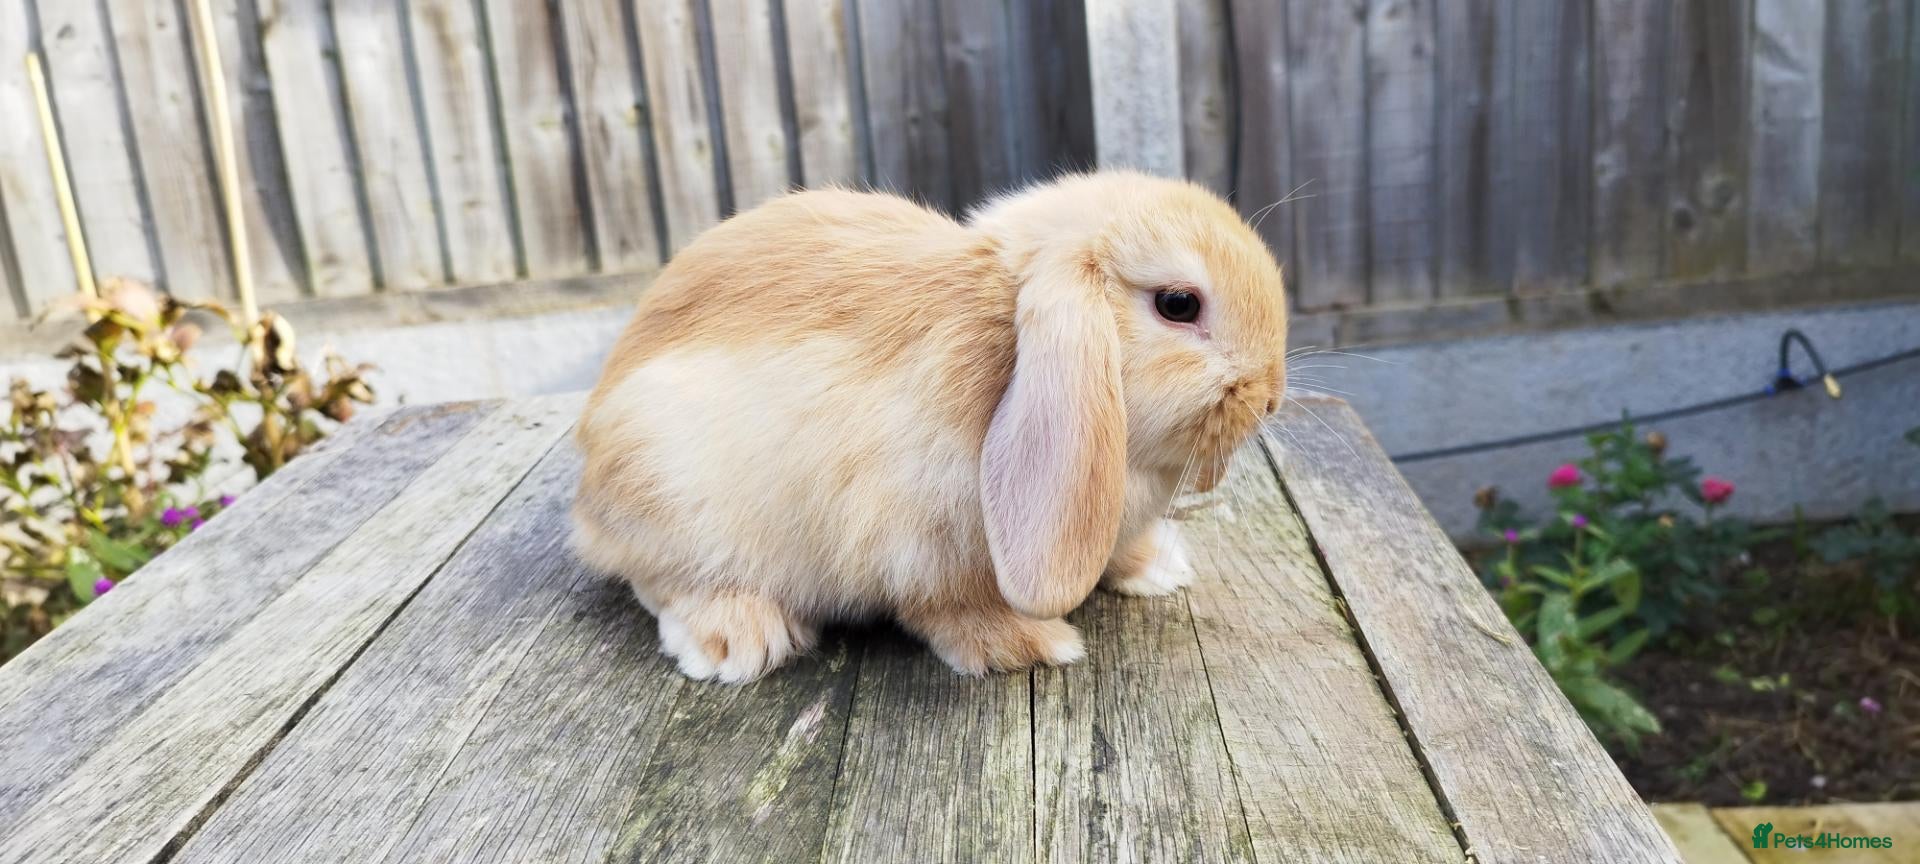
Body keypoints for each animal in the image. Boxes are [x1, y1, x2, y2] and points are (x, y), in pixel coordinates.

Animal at [572, 170, 1288, 683]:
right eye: (1178, 304)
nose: (1271, 397)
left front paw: (1158, 567)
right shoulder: (918, 542)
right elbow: (950, 606)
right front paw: (1030, 644)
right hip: (664, 487)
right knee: (659, 582)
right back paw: (735, 639)